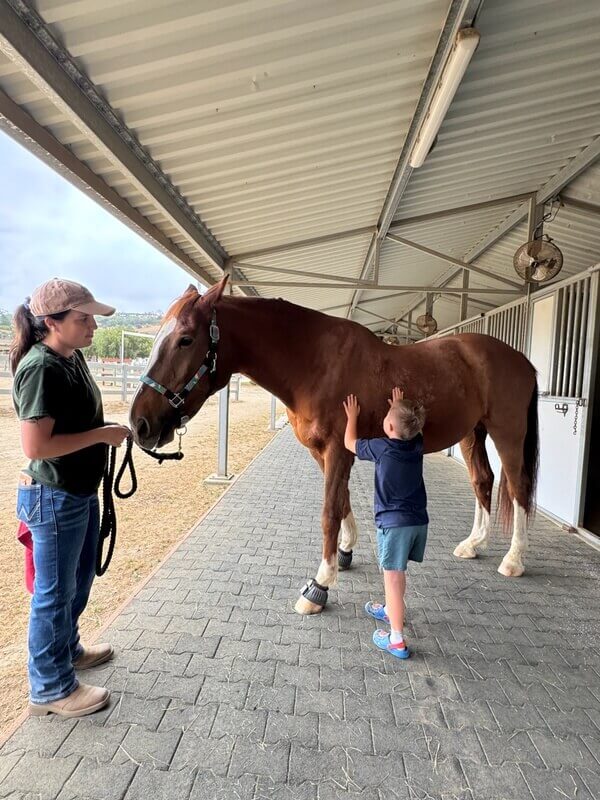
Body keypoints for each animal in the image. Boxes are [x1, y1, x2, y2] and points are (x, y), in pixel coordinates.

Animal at [130, 276, 538, 615]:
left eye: (185, 339)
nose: (139, 423)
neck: (314, 362)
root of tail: (522, 361)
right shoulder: (322, 452)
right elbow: (341, 500)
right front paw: (345, 552)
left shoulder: (339, 450)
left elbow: (328, 511)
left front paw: (320, 584)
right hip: (473, 432)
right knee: (482, 481)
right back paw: (474, 544)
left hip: (507, 431)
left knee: (518, 487)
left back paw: (514, 560)